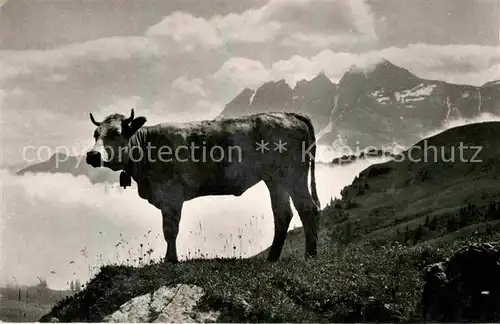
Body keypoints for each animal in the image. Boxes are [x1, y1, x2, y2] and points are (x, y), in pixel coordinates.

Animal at [86, 109, 320, 264]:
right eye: (96, 134)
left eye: (116, 133)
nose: (92, 155)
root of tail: (288, 114)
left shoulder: (171, 196)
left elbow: (170, 230)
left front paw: (170, 261)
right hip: (275, 180)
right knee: (282, 214)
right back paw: (272, 258)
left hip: (293, 175)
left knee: (308, 208)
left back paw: (310, 256)